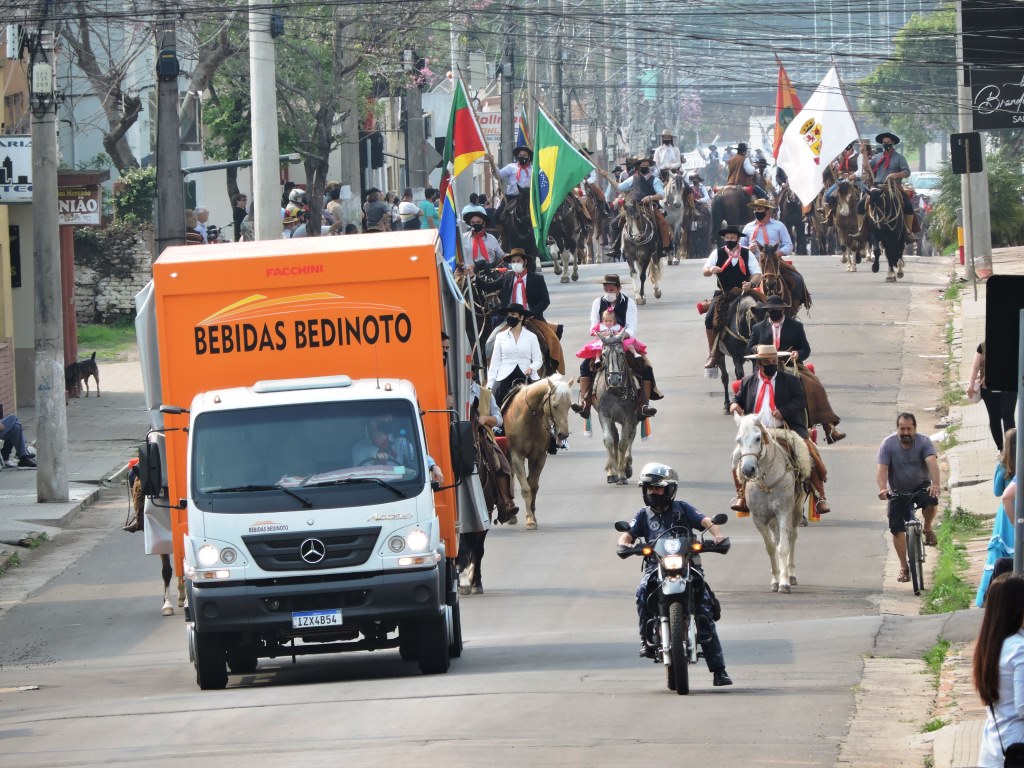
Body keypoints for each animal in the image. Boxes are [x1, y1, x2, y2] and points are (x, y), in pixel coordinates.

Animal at [503, 376, 577, 532]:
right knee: (510, 479)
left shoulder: (539, 457)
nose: (563, 434)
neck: (528, 417)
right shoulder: (517, 456)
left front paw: (533, 516)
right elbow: (525, 489)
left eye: (569, 406)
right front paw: (530, 520)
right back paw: (512, 514)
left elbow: (533, 486)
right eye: (555, 406)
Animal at [593, 331, 638, 487]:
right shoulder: (604, 414)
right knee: (615, 438)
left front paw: (622, 473)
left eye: (622, 353)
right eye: (603, 353)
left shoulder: (629, 416)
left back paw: (627, 466)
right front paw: (613, 472)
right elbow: (609, 440)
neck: (615, 391)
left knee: (631, 436)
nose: (614, 380)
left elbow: (624, 443)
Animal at [733, 415, 811, 593]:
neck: (767, 482)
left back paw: (791, 574)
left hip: (796, 509)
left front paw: (784, 583)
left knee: (791, 537)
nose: (747, 470)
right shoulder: (759, 518)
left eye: (757, 438)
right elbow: (770, 547)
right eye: (738, 440)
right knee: (776, 539)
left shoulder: (783, 512)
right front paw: (775, 580)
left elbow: (783, 547)